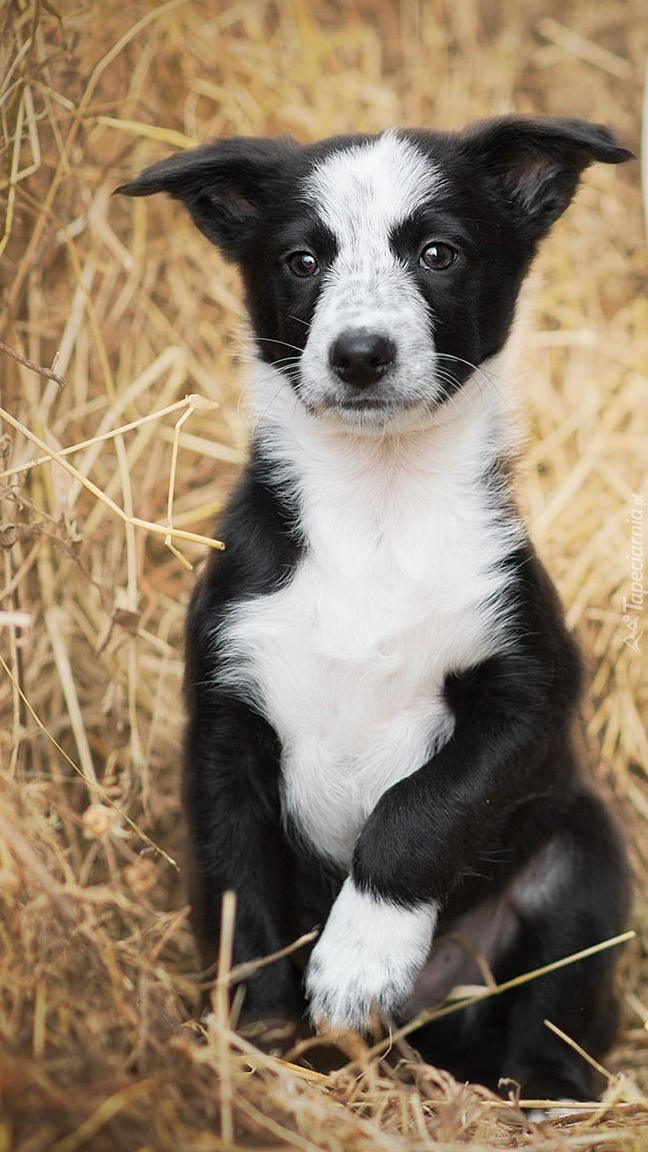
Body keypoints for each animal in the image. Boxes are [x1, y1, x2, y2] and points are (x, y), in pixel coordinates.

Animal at [118, 114, 627, 1096]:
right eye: (302, 260)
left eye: (438, 253)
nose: (360, 355)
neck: (377, 509)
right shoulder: (224, 726)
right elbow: (241, 894)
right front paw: (262, 1039)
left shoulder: (530, 692)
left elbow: (418, 811)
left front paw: (359, 958)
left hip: (581, 857)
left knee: (554, 1007)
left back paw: (538, 1092)